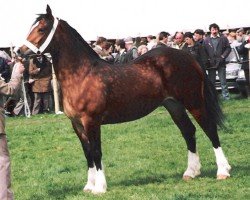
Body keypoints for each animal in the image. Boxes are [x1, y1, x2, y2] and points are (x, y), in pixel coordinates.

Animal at [18, 5, 231, 195]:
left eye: (41, 29)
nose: (20, 52)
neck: (82, 74)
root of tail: (188, 56)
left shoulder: (91, 121)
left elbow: (96, 152)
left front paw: (100, 188)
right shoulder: (77, 125)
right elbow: (87, 154)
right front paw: (89, 186)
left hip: (194, 102)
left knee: (210, 129)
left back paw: (223, 171)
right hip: (174, 105)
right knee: (188, 131)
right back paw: (191, 172)